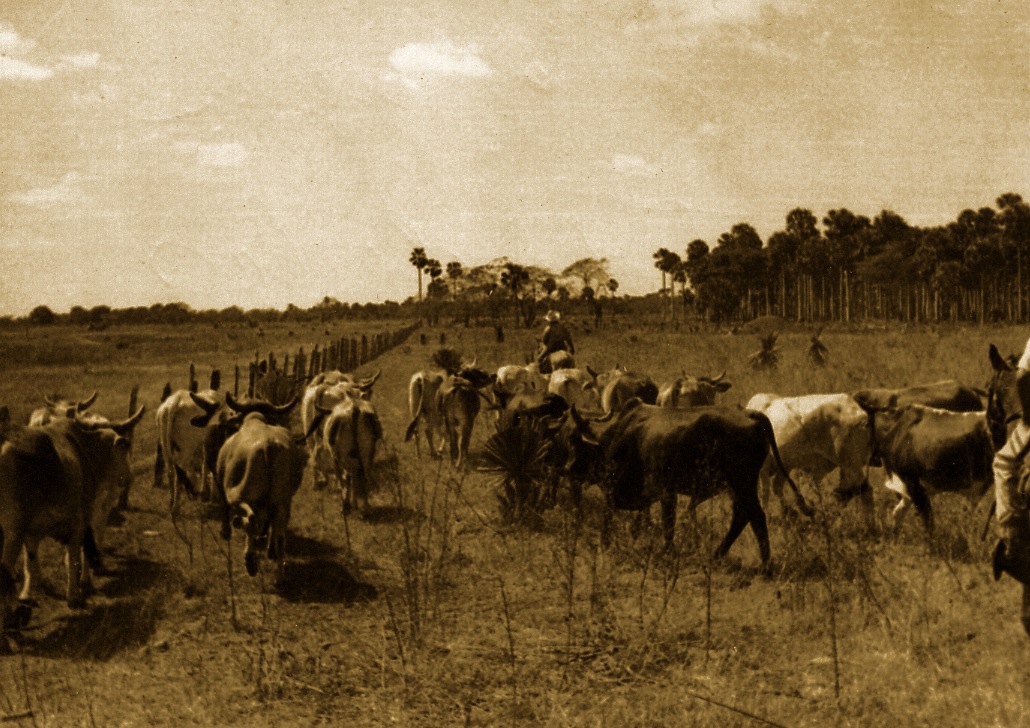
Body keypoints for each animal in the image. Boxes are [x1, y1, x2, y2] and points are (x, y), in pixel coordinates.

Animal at [0, 403, 147, 630]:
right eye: (123, 450)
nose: (129, 477)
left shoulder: (32, 531)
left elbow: (31, 563)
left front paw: (27, 595)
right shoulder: (81, 517)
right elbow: (76, 555)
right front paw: (76, 594)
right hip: (12, 531)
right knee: (4, 572)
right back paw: (8, 619)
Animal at [212, 395, 300, 576]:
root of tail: (268, 445)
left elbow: (225, 508)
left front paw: (225, 532)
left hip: (239, 494)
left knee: (251, 519)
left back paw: (250, 561)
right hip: (282, 500)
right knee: (279, 531)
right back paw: (279, 568)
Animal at [552, 399, 807, 564]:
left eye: (573, 439)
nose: (566, 469)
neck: (619, 434)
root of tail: (752, 414)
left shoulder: (663, 491)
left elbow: (666, 526)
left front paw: (666, 553)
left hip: (742, 482)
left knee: (755, 516)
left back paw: (765, 564)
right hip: (738, 486)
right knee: (742, 516)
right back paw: (718, 555)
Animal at [745, 393, 873, 523]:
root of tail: (860, 412)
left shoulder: (764, 468)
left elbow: (765, 492)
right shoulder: (786, 465)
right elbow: (776, 487)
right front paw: (790, 513)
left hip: (850, 463)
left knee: (863, 490)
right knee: (857, 489)